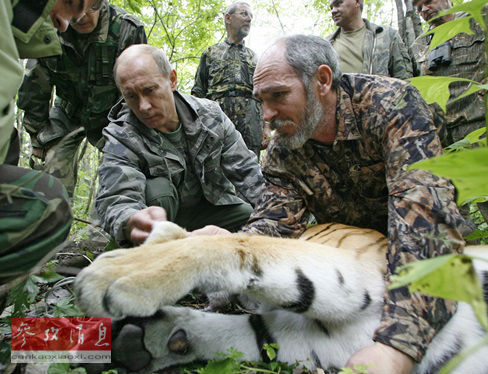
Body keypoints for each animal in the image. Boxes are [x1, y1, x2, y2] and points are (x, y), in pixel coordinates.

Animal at [75, 221, 488, 372]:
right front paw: (141, 340)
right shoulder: (324, 339)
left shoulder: (357, 271)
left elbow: (236, 240)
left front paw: (119, 272)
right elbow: (240, 331)